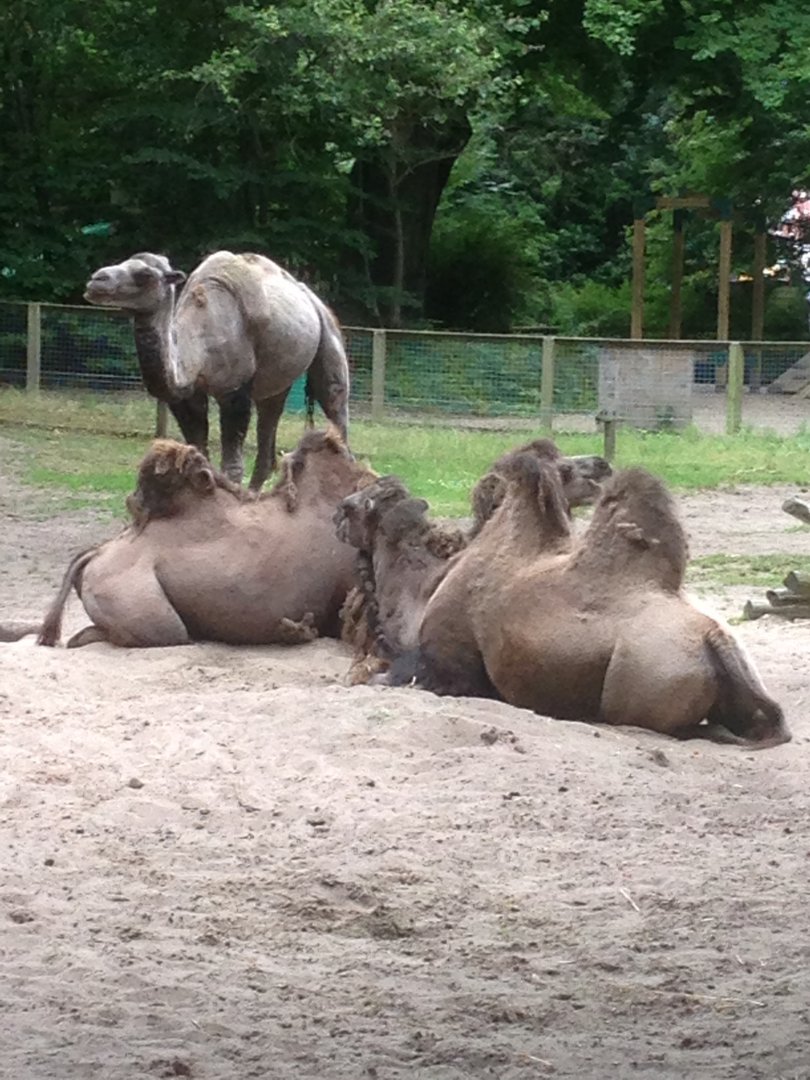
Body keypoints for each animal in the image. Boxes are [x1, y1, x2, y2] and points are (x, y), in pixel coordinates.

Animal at [84, 251, 350, 489]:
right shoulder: (187, 396)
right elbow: (197, 455)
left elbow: (232, 466)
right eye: (122, 261)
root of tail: (310, 296)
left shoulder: (235, 390)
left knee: (336, 407)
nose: (97, 279)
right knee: (268, 434)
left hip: (329, 336)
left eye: (145, 274)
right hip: (276, 384)